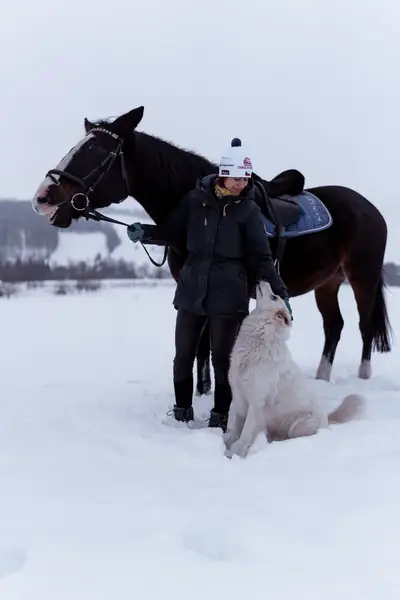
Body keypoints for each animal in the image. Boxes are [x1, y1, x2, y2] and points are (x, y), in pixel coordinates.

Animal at [32, 105, 392, 392]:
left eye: (95, 150)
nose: (43, 197)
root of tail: (370, 208)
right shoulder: (196, 291)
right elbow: (201, 348)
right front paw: (203, 391)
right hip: (328, 282)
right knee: (334, 326)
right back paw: (321, 378)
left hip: (362, 277)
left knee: (364, 325)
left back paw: (363, 377)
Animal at [225, 282, 366, 460]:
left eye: (274, 297)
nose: (264, 280)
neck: (259, 339)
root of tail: (326, 420)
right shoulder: (237, 398)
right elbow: (230, 431)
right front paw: (226, 449)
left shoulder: (256, 403)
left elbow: (245, 435)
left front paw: (236, 455)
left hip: (299, 427)